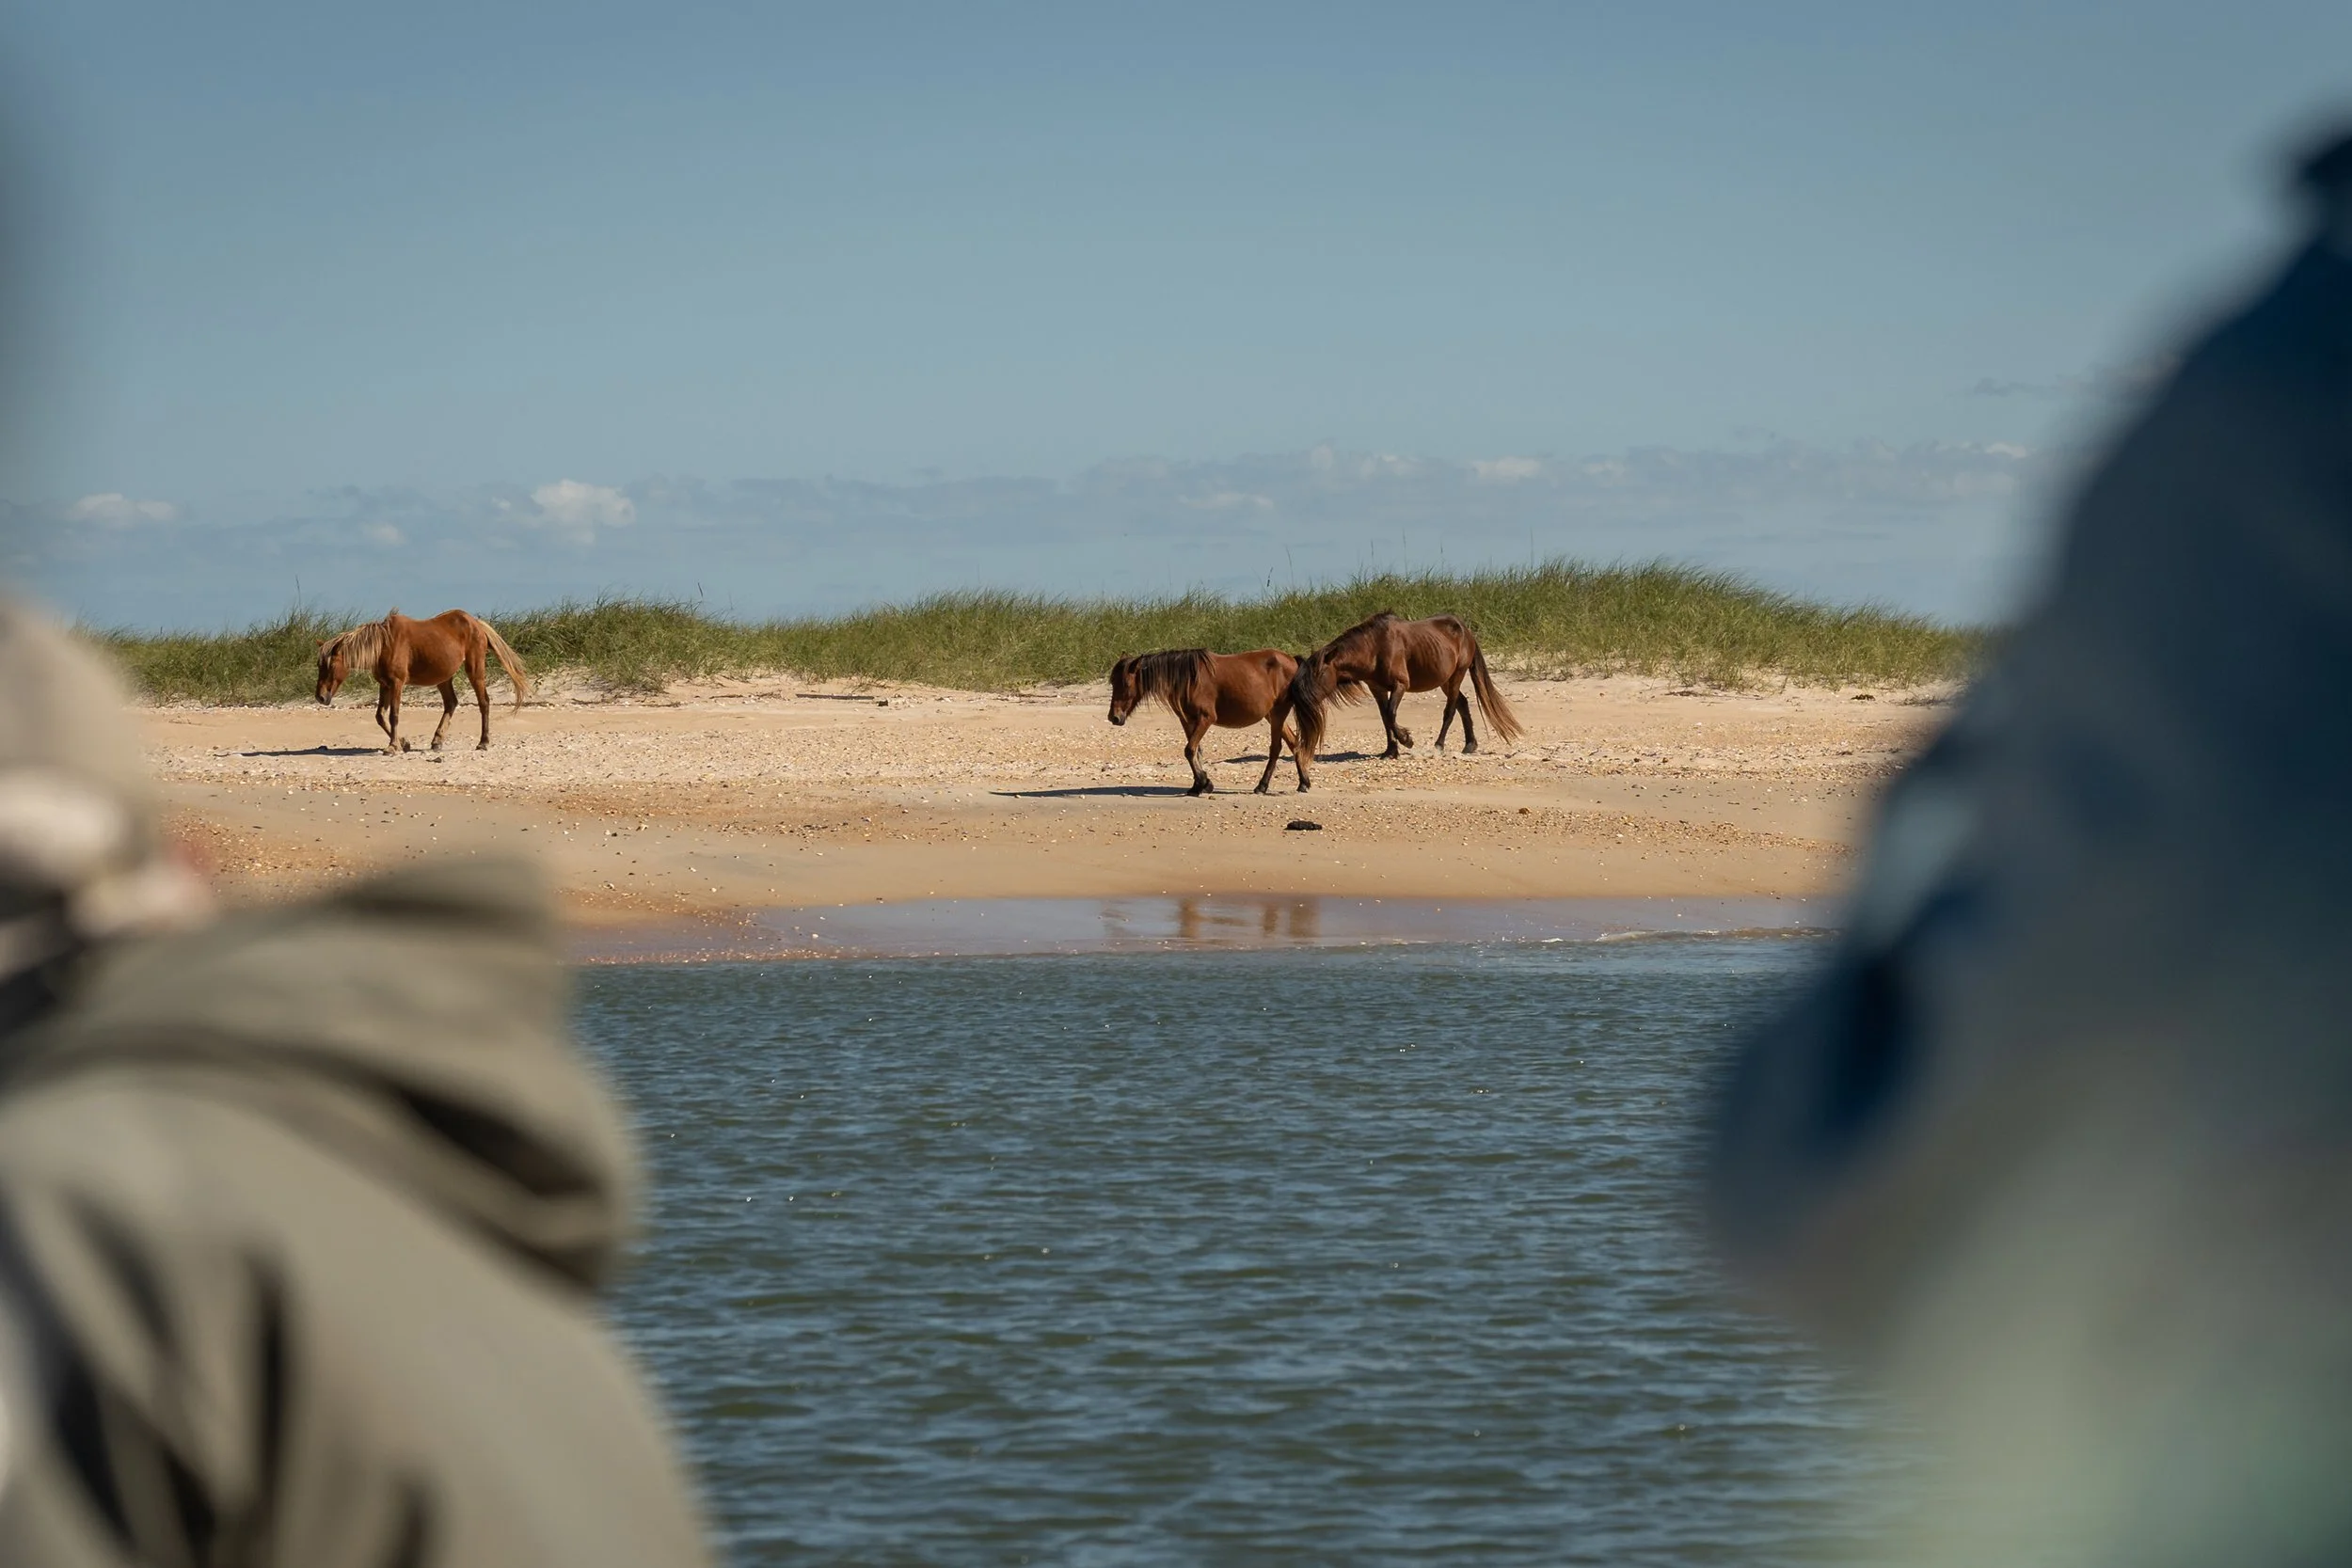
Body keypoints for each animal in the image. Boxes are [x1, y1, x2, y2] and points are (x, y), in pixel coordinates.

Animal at [315, 609, 531, 753]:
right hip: (444, 677)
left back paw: (483, 742)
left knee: (484, 702)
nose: (320, 697)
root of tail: (476, 623)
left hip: (475, 670)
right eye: (319, 665)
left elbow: (393, 715)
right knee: (451, 703)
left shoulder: (397, 683)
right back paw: (437, 741)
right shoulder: (384, 684)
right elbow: (380, 716)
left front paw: (392, 746)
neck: (384, 644)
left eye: (330, 666)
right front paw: (404, 743)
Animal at [1107, 648, 1307, 795]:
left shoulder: (1206, 718)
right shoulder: (1187, 721)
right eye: (1112, 682)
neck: (1188, 679)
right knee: (1293, 743)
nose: (1114, 717)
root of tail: (1292, 660)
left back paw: (1262, 786)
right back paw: (1304, 783)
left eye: (1126, 683)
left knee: (1276, 748)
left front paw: (1203, 782)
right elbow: (1196, 751)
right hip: (1272, 715)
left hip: (1279, 713)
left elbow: (1189, 750)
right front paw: (1199, 785)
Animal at [1287, 611, 1523, 787]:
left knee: (1450, 710)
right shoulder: (1377, 689)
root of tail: (1466, 630)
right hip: (1445, 680)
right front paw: (1391, 751)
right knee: (1462, 704)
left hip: (1457, 675)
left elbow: (1391, 714)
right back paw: (1470, 745)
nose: (1301, 700)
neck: (1373, 648)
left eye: (1318, 673)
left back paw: (1438, 746)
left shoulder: (1400, 685)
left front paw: (1407, 740)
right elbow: (1385, 718)